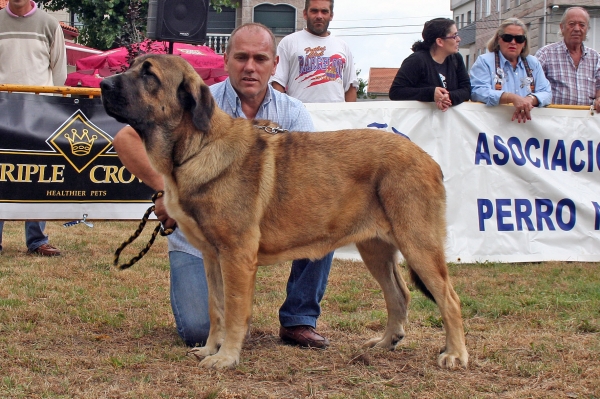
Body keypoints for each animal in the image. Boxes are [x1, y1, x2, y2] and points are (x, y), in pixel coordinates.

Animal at [101, 54, 468, 372]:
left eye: (148, 74)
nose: (103, 84)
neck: (196, 147)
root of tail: (428, 158)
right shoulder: (212, 256)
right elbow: (215, 308)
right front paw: (209, 349)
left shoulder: (236, 256)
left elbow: (233, 310)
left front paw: (226, 357)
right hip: (376, 249)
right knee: (398, 295)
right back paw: (385, 342)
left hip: (418, 243)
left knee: (449, 298)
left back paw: (455, 354)